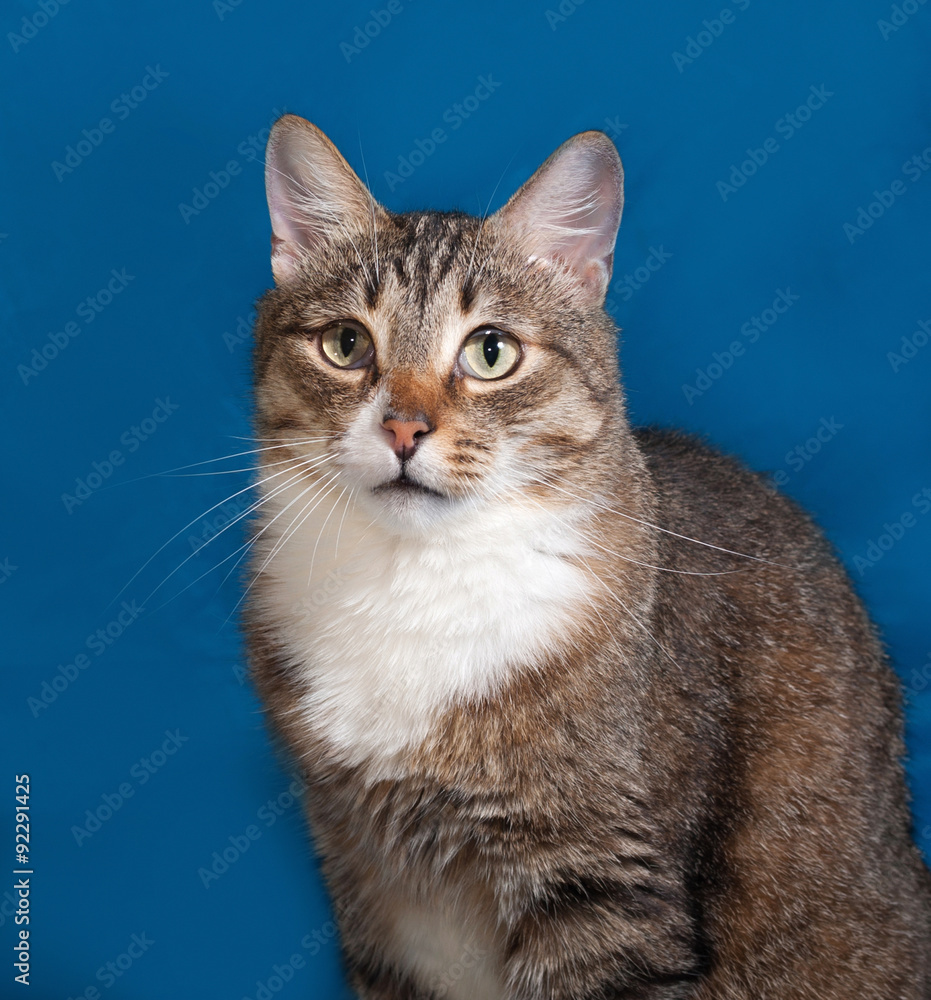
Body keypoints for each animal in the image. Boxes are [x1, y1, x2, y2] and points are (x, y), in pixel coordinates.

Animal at [246, 117, 931, 1000]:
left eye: (490, 352)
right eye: (344, 344)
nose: (402, 428)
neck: (416, 577)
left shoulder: (601, 878)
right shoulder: (365, 879)